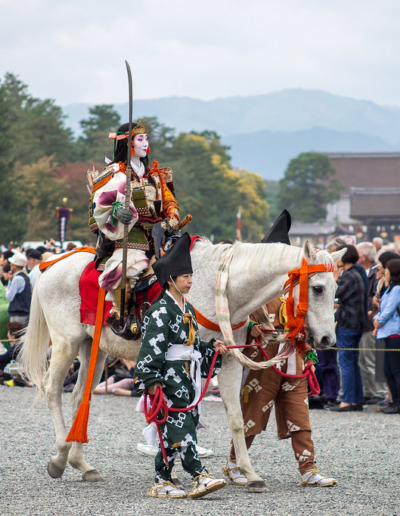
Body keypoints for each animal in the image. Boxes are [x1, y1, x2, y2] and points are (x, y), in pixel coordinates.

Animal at [21, 242, 344, 492]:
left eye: (335, 289)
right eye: (317, 289)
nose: (328, 339)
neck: (222, 288)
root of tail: (51, 266)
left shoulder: (226, 357)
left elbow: (237, 418)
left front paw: (249, 474)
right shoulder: (192, 361)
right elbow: (180, 413)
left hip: (94, 348)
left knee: (80, 397)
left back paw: (82, 464)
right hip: (66, 342)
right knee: (52, 389)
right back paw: (60, 457)